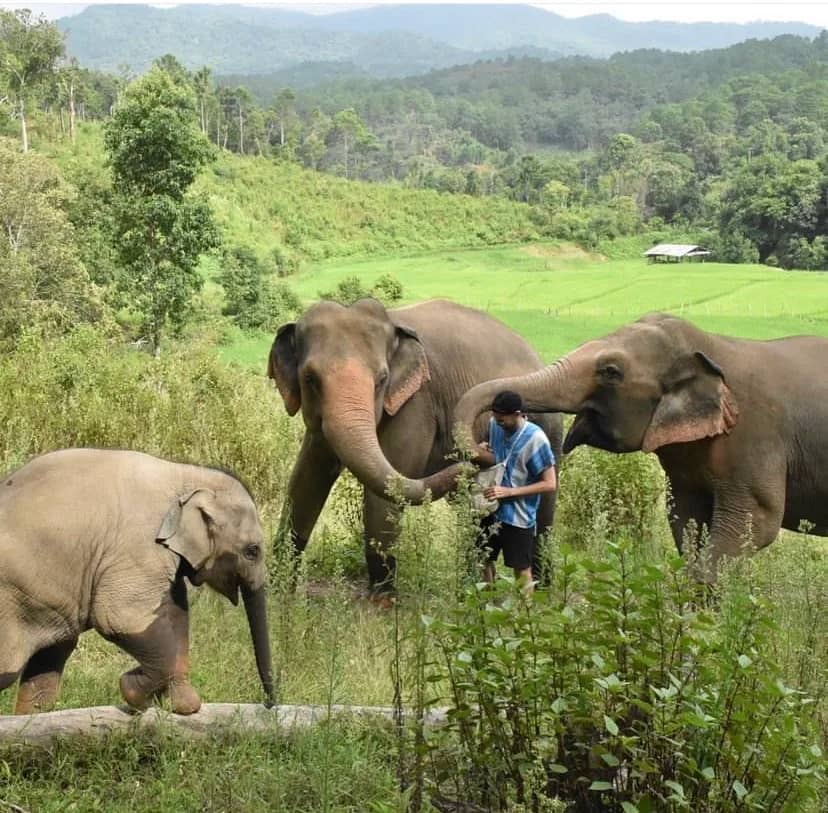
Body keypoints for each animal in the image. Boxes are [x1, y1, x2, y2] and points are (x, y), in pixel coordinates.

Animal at [0, 449, 274, 715]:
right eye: (252, 551)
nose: (270, 704)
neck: (185, 474)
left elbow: (177, 614)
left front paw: (182, 705)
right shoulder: (138, 548)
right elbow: (119, 618)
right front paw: (134, 691)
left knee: (52, 655)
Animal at [268, 297, 563, 593]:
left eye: (382, 380)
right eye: (310, 379)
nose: (477, 457)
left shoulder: (416, 404)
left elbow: (385, 494)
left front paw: (382, 599)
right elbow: (305, 481)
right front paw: (279, 589)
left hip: (549, 429)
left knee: (543, 512)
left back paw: (542, 590)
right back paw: (477, 591)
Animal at [453, 312, 828, 579]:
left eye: (610, 371)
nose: (487, 450)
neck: (712, 345)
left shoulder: (756, 440)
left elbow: (755, 524)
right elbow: (686, 521)